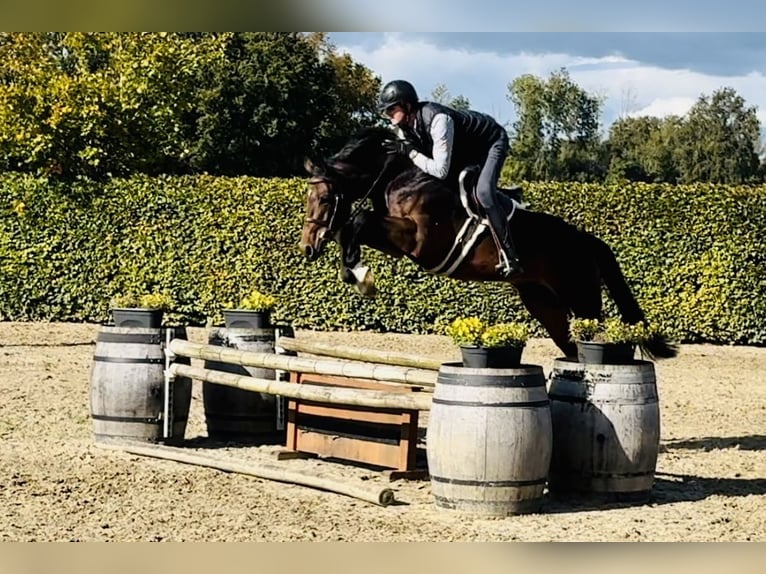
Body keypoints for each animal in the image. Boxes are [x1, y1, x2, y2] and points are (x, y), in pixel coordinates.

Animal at [300, 127, 680, 360]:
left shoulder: (420, 241)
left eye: (323, 198)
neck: (401, 177)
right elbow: (351, 228)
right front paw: (354, 272)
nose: (307, 248)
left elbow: (358, 221)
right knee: (572, 347)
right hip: (543, 301)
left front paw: (361, 277)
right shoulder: (399, 243)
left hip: (582, 298)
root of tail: (586, 241)